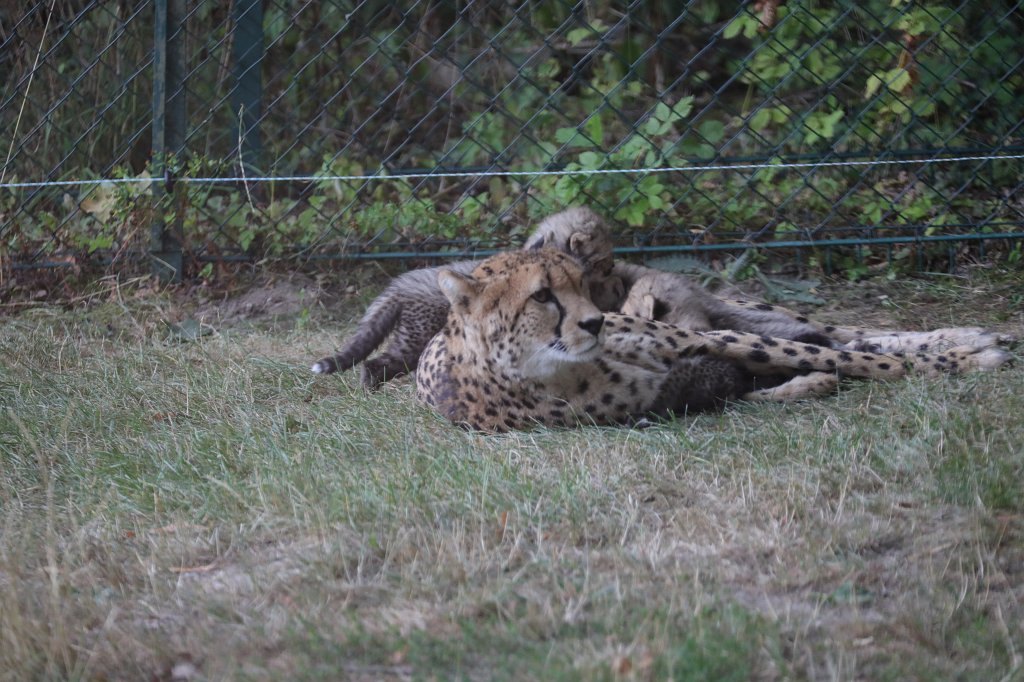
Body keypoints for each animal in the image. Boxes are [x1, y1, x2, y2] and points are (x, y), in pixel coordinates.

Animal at [415, 248, 1010, 433]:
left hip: (732, 317)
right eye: (542, 295)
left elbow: (842, 351)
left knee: (842, 334)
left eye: (579, 285)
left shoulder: (691, 341)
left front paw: (963, 356)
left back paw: (968, 335)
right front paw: (962, 362)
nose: (595, 322)